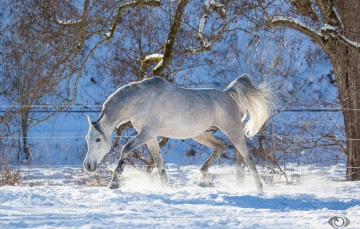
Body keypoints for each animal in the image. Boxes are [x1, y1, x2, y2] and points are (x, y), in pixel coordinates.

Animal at [83, 74, 272, 192]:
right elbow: (158, 162)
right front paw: (165, 187)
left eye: (98, 140)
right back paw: (208, 177)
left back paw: (259, 188)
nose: (88, 166)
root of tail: (228, 94)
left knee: (248, 157)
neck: (140, 101)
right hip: (201, 134)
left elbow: (126, 148)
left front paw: (114, 183)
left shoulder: (147, 133)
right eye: (87, 139)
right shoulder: (150, 137)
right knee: (221, 147)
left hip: (233, 131)